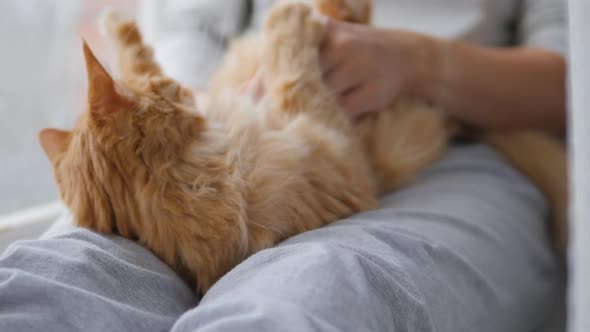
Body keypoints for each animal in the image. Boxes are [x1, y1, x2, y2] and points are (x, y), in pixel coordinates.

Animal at [38, 0, 568, 294]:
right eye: (177, 92)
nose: (187, 92)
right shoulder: (335, 147)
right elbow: (295, 73)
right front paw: (289, 21)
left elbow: (138, 54)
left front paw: (116, 23)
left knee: (355, 15)